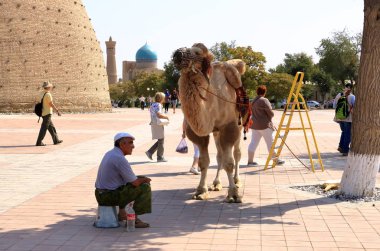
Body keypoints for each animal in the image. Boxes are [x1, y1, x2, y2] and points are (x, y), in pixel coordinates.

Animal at [172, 43, 246, 203]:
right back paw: (216, 184)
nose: (177, 53)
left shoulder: (229, 127)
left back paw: (237, 181)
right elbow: (204, 161)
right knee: (219, 156)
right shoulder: (199, 133)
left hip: (239, 126)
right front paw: (201, 191)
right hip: (217, 132)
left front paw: (234, 194)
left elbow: (229, 162)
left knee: (237, 153)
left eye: (197, 52)